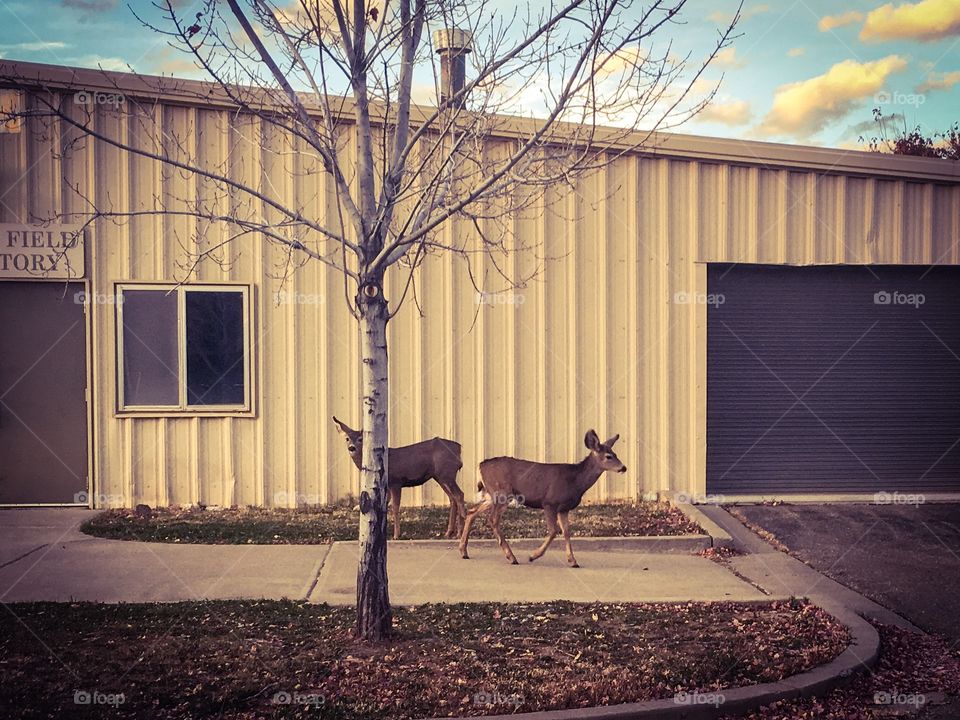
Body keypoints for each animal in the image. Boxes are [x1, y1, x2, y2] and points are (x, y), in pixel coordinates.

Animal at [332, 417, 466, 540]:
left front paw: (396, 535)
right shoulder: (387, 486)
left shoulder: (396, 481)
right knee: (452, 498)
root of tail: (459, 449)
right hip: (440, 476)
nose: (351, 447)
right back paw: (449, 533)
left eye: (360, 439)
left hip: (447, 473)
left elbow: (395, 506)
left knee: (459, 495)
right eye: (347, 438)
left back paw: (460, 533)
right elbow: (384, 506)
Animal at [459, 429, 626, 567]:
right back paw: (511, 557)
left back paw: (463, 551)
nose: (623, 468)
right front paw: (533, 556)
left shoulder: (564, 508)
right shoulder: (549, 502)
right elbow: (553, 531)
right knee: (492, 519)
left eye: (616, 454)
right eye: (609, 456)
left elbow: (566, 532)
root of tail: (480, 465)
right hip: (501, 493)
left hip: (491, 495)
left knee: (472, 512)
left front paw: (573, 561)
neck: (575, 481)